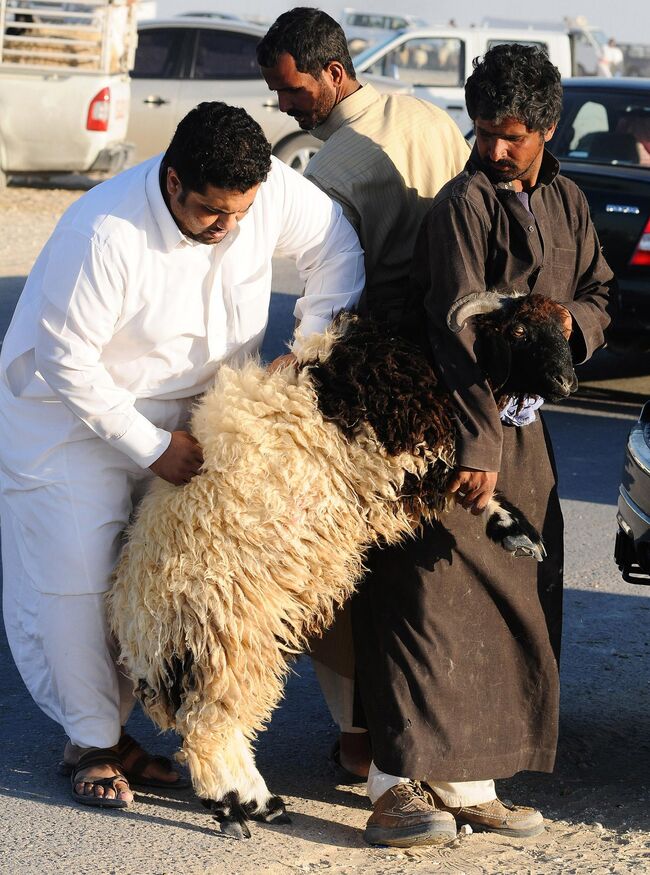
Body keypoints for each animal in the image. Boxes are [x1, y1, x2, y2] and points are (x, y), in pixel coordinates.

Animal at [107, 288, 576, 836]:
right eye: (518, 331)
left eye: (564, 329)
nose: (567, 382)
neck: (420, 356)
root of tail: (140, 633)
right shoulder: (405, 452)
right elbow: (457, 479)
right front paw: (512, 527)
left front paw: (519, 535)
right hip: (223, 638)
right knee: (210, 728)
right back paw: (239, 808)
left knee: (219, 723)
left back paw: (260, 804)